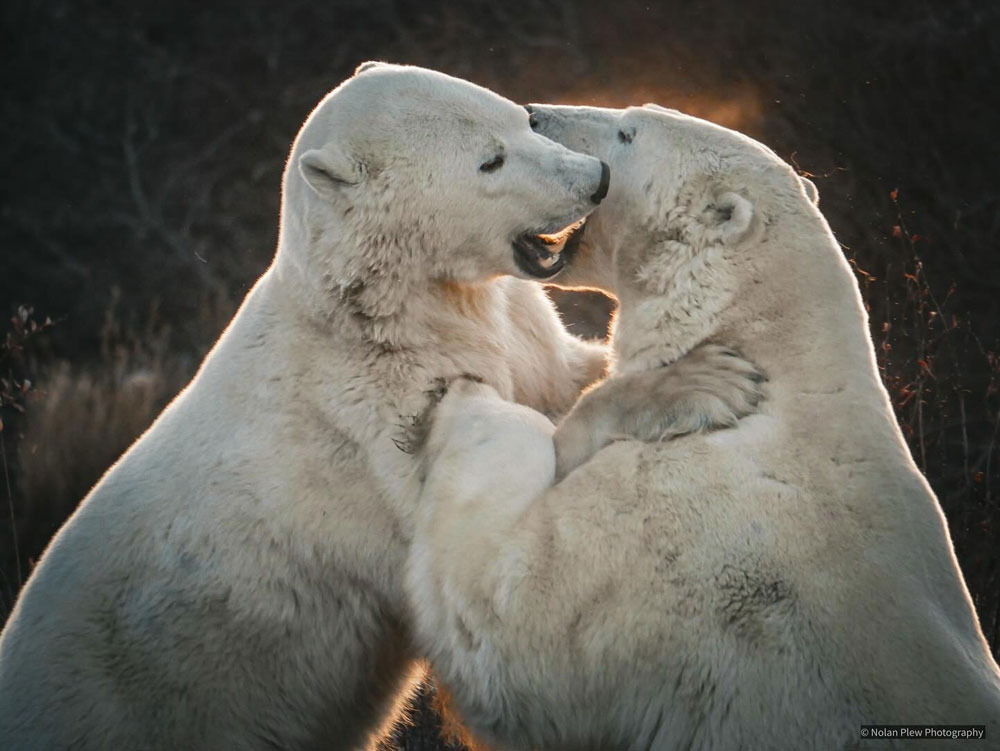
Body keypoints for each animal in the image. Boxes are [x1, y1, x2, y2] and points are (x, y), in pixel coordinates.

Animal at [0, 65, 766, 750]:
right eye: (490, 159)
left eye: (521, 118)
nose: (595, 177)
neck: (386, 309)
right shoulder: (370, 415)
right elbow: (491, 483)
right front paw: (706, 381)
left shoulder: (510, 327)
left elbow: (555, 367)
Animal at [406, 103, 1000, 750]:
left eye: (628, 132)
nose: (536, 114)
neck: (778, 363)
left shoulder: (661, 528)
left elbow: (505, 617)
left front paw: (468, 398)